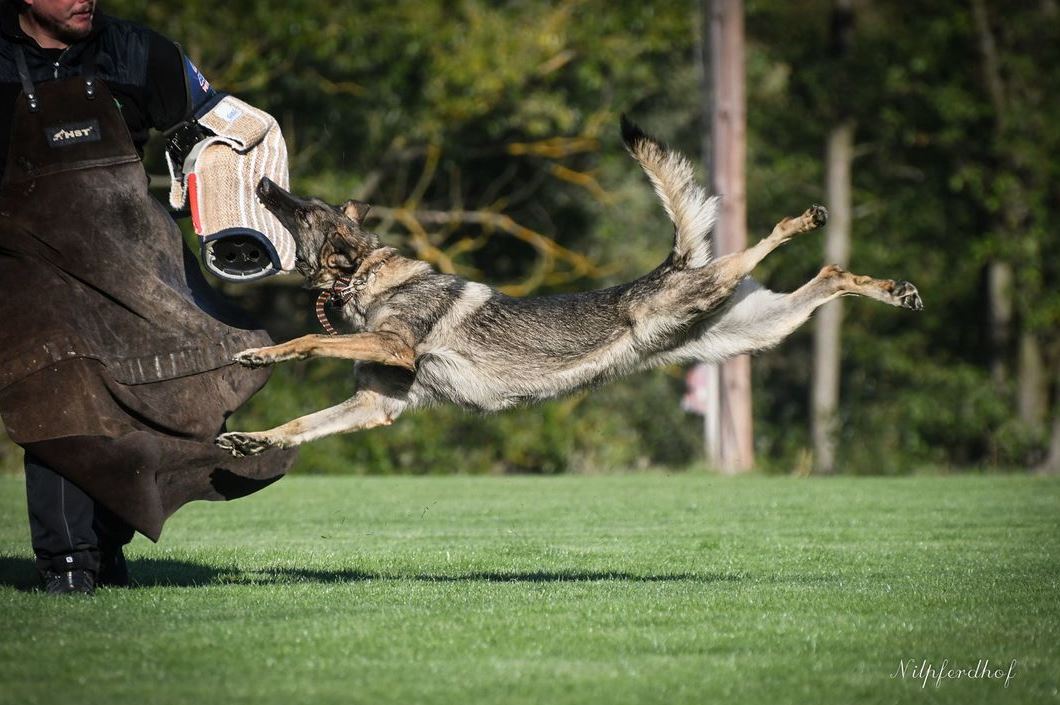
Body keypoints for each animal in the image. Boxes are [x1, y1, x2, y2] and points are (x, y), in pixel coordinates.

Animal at [213, 116, 920, 455]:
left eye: (304, 210)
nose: (264, 183)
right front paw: (254, 439)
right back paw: (893, 291)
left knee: (766, 243)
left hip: (710, 289)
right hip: (757, 328)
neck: (366, 277)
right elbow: (303, 423)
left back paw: (806, 221)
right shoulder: (374, 406)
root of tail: (673, 265)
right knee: (828, 278)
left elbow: (307, 340)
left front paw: (261, 353)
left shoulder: (393, 350)